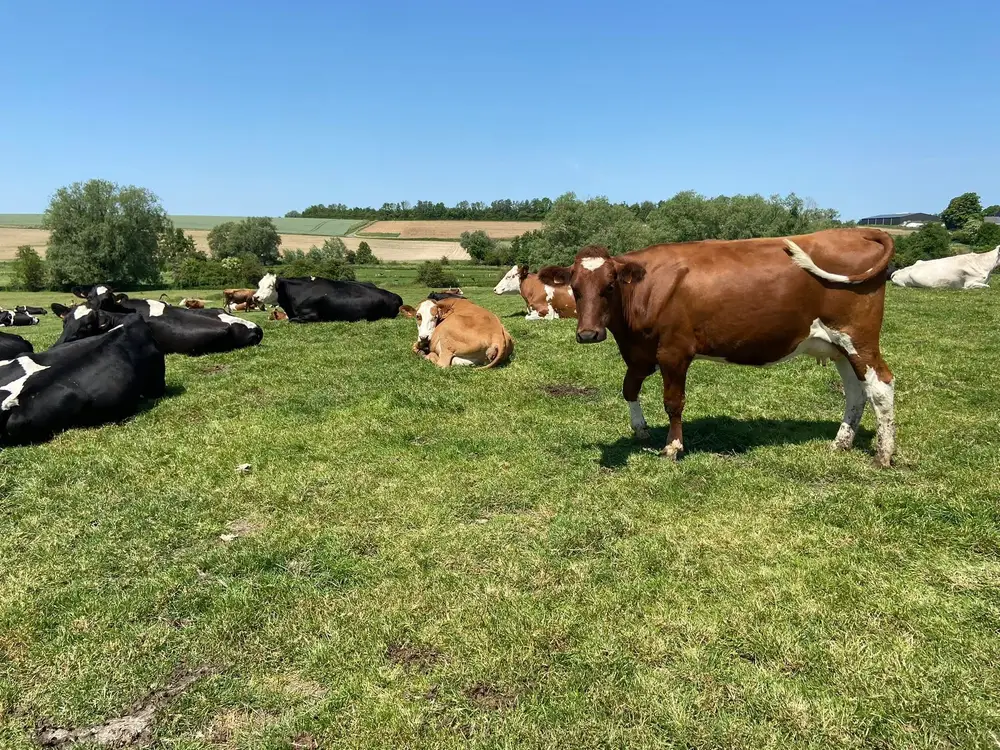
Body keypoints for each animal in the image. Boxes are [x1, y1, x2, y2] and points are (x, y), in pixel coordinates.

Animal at [252, 273, 406, 323]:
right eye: (259, 284)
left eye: (270, 286)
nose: (255, 297)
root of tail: (395, 296)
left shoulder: (312, 315)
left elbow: (291, 320)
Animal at [537, 228, 898, 467]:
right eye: (575, 288)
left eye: (610, 286)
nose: (588, 334)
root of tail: (855, 230)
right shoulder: (640, 353)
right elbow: (629, 388)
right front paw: (640, 431)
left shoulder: (674, 352)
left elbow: (673, 402)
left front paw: (673, 447)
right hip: (838, 346)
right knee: (856, 391)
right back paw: (841, 443)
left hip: (859, 337)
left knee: (881, 385)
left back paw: (884, 454)